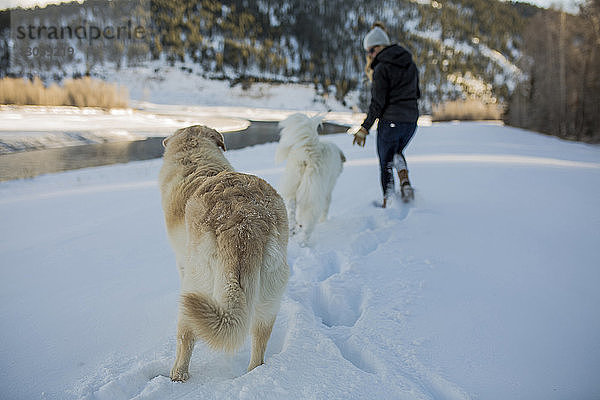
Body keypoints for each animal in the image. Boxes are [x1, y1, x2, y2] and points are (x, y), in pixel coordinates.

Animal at [274, 113, 344, 244]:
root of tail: (310, 153)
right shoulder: (327, 191)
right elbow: (326, 207)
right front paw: (323, 221)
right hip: (312, 197)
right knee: (309, 223)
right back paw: (303, 241)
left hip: (293, 187)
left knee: (291, 210)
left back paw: (292, 229)